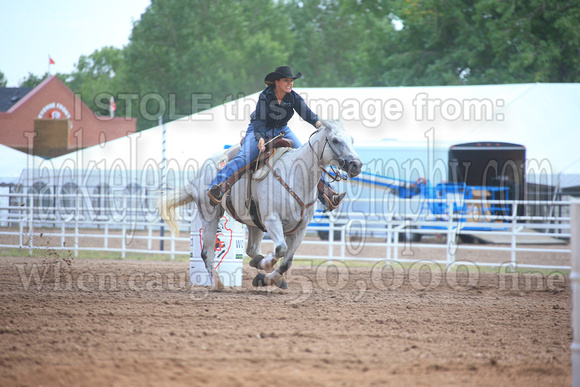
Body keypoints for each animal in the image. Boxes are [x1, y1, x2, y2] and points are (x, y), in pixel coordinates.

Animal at [156, 121, 360, 292]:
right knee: (207, 253)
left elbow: (287, 262)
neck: (296, 177)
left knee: (251, 250)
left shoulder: (300, 229)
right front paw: (266, 269)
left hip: (254, 223)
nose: (356, 165)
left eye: (352, 140)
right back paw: (218, 283)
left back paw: (258, 264)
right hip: (210, 214)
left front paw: (267, 278)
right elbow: (281, 249)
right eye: (335, 140)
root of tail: (197, 176)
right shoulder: (272, 220)